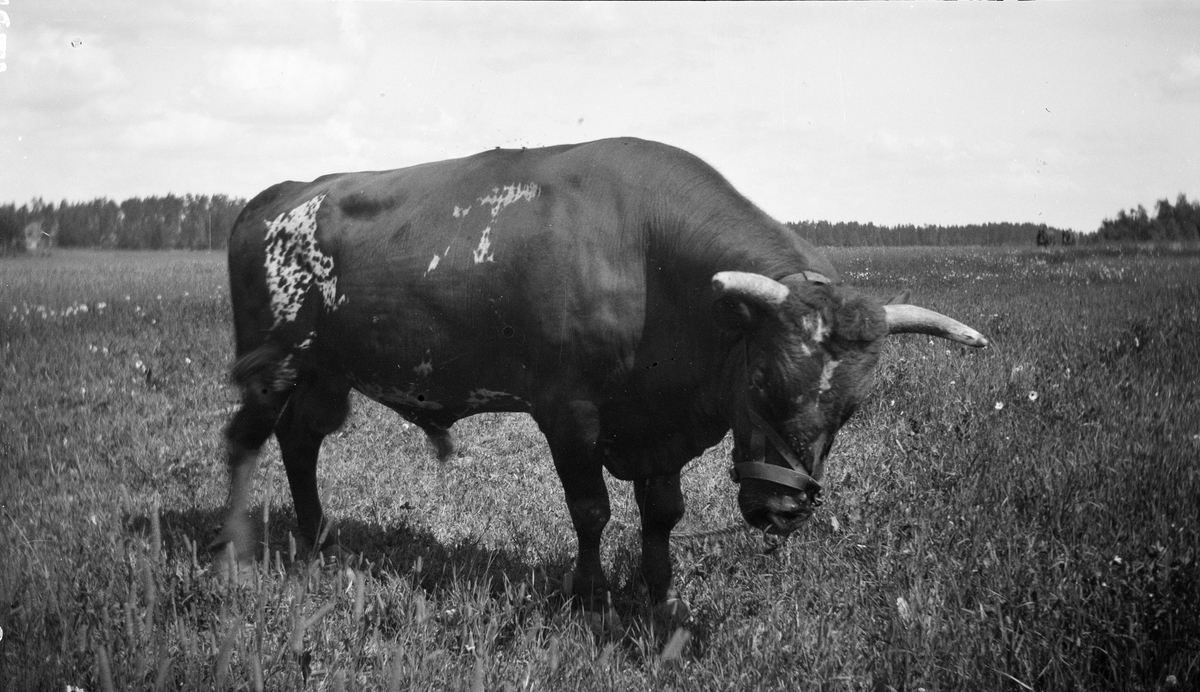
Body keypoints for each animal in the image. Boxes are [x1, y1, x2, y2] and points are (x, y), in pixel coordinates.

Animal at [216, 137, 984, 623]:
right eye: (766, 381)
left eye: (851, 409)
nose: (781, 510)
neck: (652, 262)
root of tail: (282, 192)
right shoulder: (570, 413)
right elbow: (590, 511)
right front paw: (589, 597)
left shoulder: (656, 428)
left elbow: (662, 514)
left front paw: (660, 597)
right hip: (271, 367)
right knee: (246, 444)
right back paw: (233, 547)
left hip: (325, 376)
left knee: (300, 444)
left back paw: (319, 540)